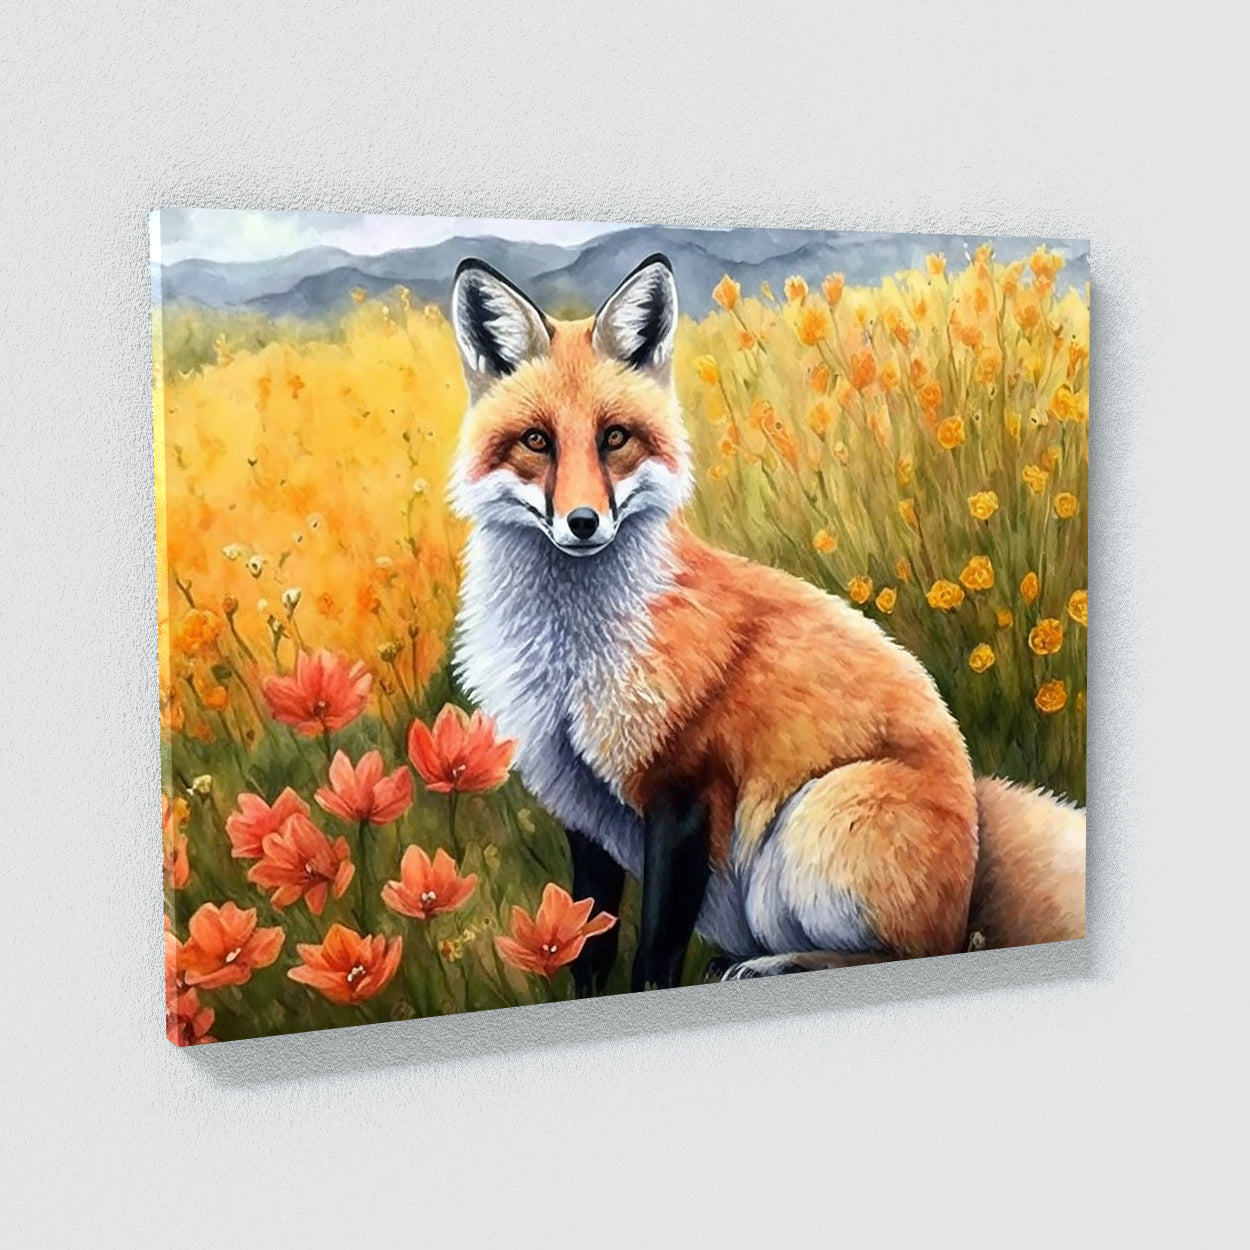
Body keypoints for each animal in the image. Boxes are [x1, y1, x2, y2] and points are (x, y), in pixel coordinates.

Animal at [447, 252, 1086, 992]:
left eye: (614, 439)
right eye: (536, 441)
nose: (583, 523)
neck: (570, 660)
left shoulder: (685, 791)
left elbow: (653, 957)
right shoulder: (582, 805)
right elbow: (587, 946)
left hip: (812, 823)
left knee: (918, 952)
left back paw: (776, 961)